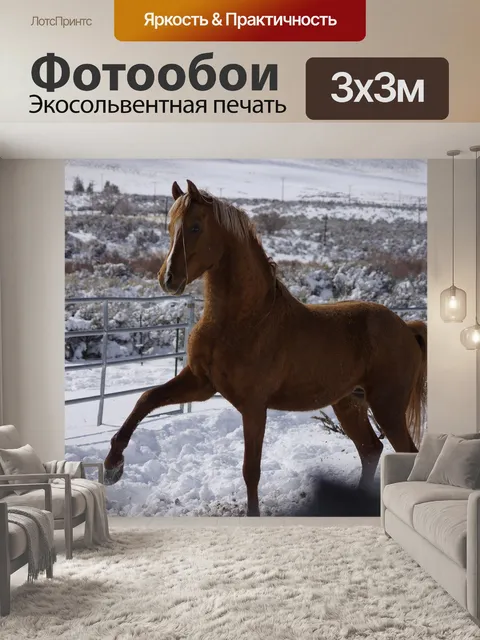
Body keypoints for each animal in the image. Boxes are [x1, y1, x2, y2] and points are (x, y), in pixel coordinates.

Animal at [103, 179, 427, 517]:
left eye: (194, 227)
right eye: (169, 226)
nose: (168, 279)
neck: (245, 320)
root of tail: (406, 327)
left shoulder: (254, 406)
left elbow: (251, 470)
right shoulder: (201, 383)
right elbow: (147, 398)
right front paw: (112, 467)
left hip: (387, 407)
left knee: (403, 452)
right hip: (350, 403)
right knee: (370, 449)